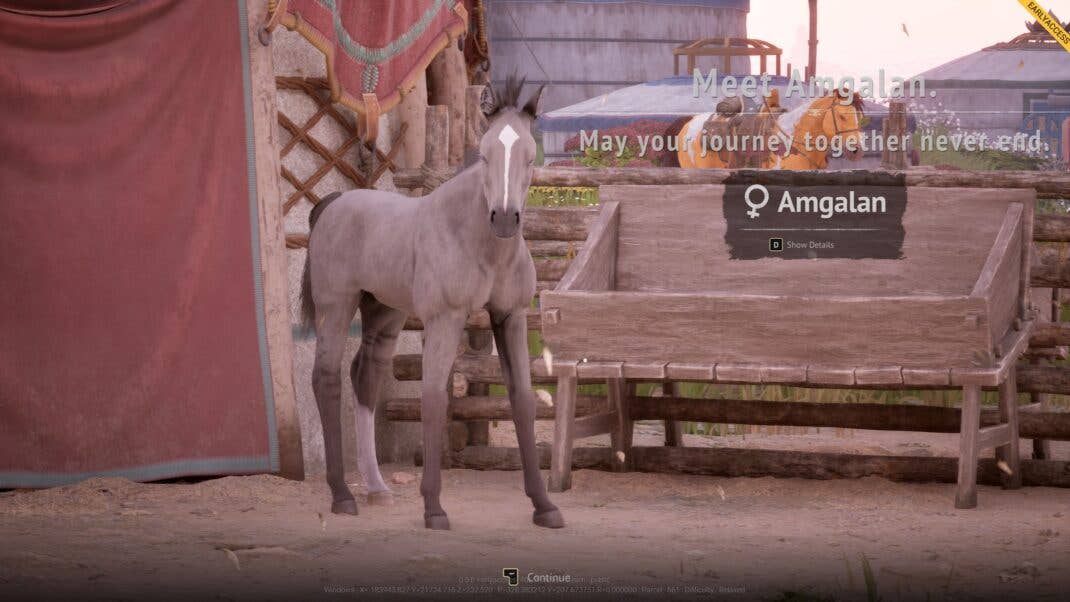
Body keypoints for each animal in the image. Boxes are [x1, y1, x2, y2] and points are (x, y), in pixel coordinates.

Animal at [299, 76, 564, 531]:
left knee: (364, 377)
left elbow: (524, 401)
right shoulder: (446, 319)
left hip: (384, 314)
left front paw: (544, 505)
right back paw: (342, 495)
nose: (504, 218)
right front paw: (434, 507)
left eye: (530, 156)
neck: (478, 241)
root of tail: (331, 206)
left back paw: (376, 488)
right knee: (327, 378)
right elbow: (435, 399)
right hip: (336, 307)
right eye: (486, 153)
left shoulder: (510, 317)